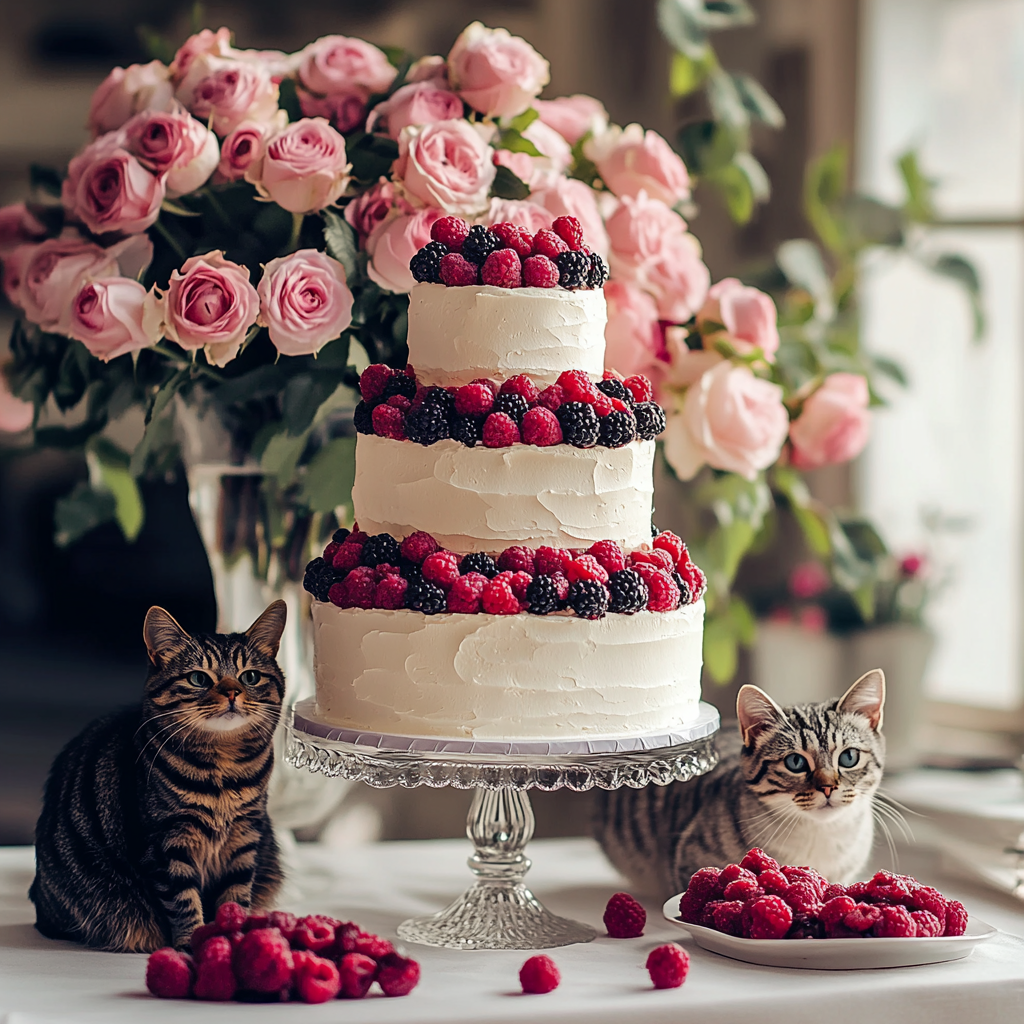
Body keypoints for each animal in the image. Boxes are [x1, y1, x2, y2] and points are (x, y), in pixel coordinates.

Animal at [30, 598, 288, 950]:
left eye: (249, 677)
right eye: (198, 679)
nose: (233, 693)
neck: (223, 767)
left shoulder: (244, 838)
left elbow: (234, 897)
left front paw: (230, 939)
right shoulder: (167, 843)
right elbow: (184, 901)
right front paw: (191, 944)